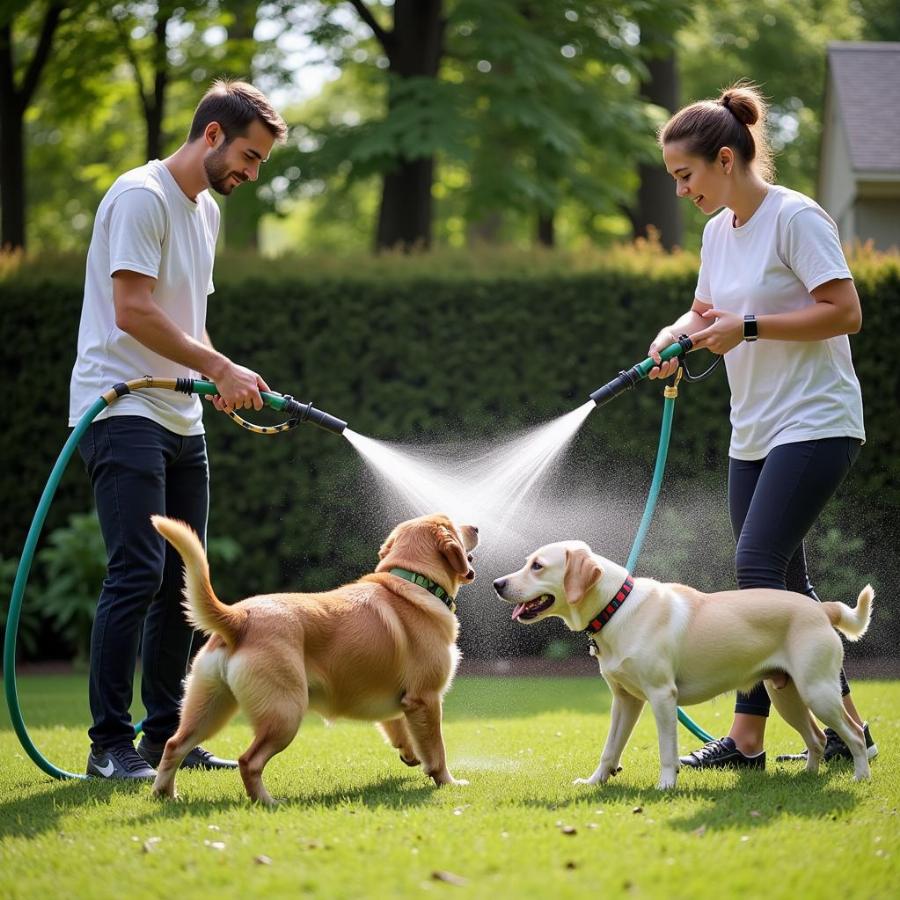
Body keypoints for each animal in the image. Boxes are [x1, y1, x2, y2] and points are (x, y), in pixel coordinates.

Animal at [151, 510, 478, 804]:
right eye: (453, 524)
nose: (475, 526)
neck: (414, 581)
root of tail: (239, 617)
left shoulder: (403, 701)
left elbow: (400, 730)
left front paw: (410, 756)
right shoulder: (426, 698)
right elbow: (436, 750)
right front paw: (447, 781)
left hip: (209, 707)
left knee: (174, 745)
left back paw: (165, 794)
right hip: (285, 714)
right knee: (248, 761)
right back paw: (267, 802)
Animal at [492, 540, 872, 788]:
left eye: (538, 566)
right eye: (527, 562)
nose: (497, 583)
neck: (616, 607)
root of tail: (820, 609)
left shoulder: (662, 697)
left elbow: (666, 749)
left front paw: (665, 785)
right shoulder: (625, 701)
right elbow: (609, 749)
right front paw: (595, 781)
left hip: (817, 692)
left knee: (853, 733)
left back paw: (860, 777)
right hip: (787, 696)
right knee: (817, 739)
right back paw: (807, 778)